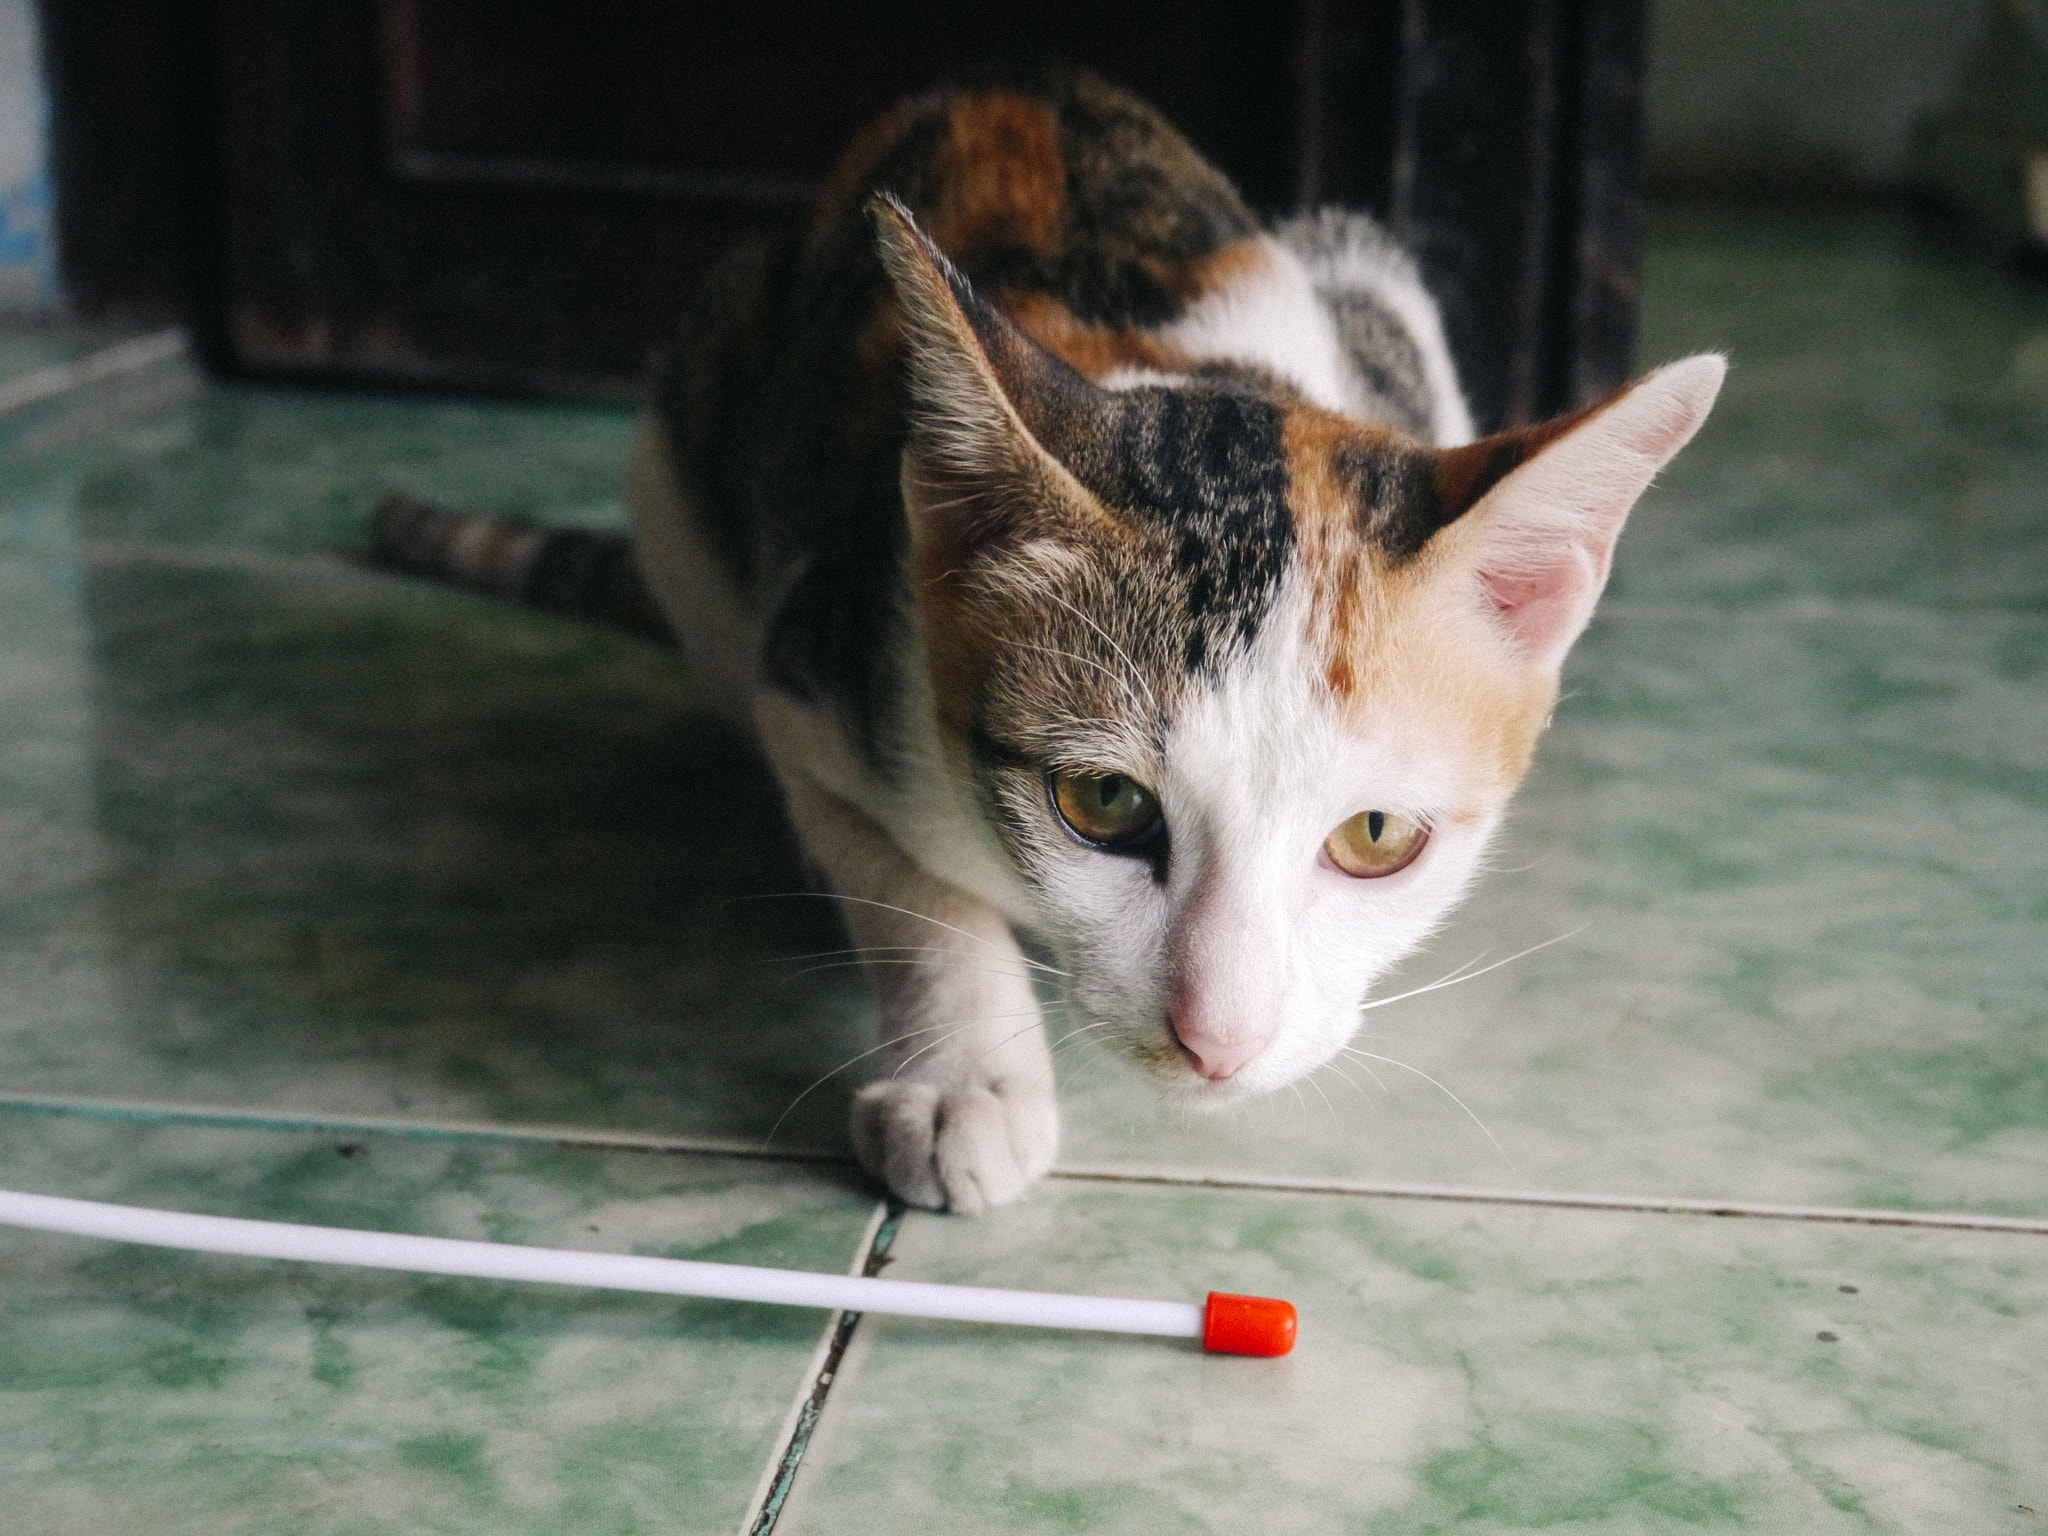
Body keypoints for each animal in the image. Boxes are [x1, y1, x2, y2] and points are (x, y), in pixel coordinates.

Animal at [380, 66, 1712, 1212]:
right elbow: (901, 881)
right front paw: (962, 1081)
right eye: (1103, 805)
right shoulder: (822, 656)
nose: (1216, 1040)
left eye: (1376, 837)